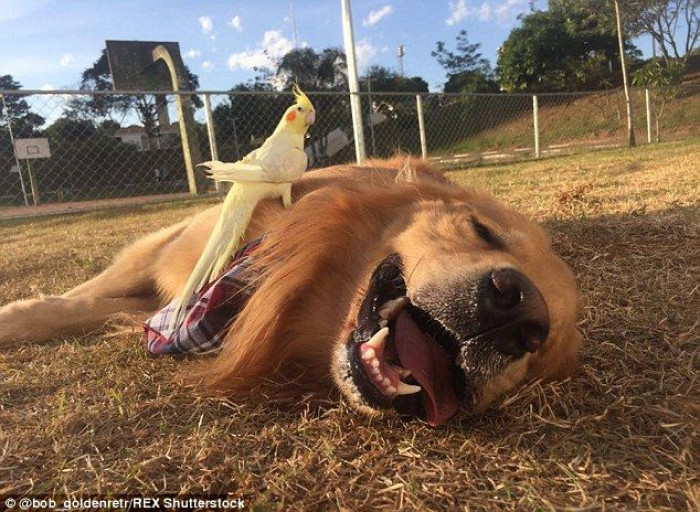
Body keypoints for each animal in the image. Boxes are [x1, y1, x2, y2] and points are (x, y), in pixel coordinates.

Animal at [0, 158, 584, 426]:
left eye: (542, 350)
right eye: (483, 230)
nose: (518, 313)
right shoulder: (168, 247)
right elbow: (77, 299)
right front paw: (17, 317)